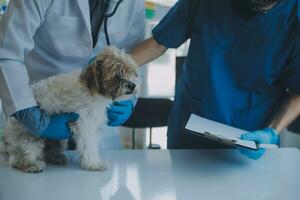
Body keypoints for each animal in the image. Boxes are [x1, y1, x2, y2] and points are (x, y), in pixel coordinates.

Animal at [0, 46, 139, 172]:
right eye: (117, 73)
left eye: (132, 72)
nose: (133, 85)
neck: (92, 91)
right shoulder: (84, 123)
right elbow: (89, 145)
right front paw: (93, 163)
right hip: (30, 137)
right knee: (18, 157)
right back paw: (31, 164)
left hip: (56, 137)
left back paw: (56, 157)